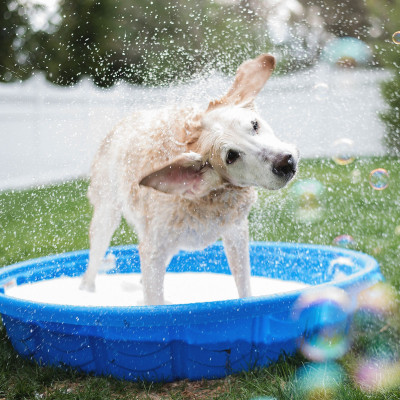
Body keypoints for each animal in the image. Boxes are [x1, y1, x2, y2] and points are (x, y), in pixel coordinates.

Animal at [81, 54, 298, 306]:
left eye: (255, 125)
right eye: (231, 156)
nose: (285, 162)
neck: (207, 197)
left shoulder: (235, 233)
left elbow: (244, 287)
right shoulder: (153, 250)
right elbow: (154, 303)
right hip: (106, 214)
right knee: (92, 266)